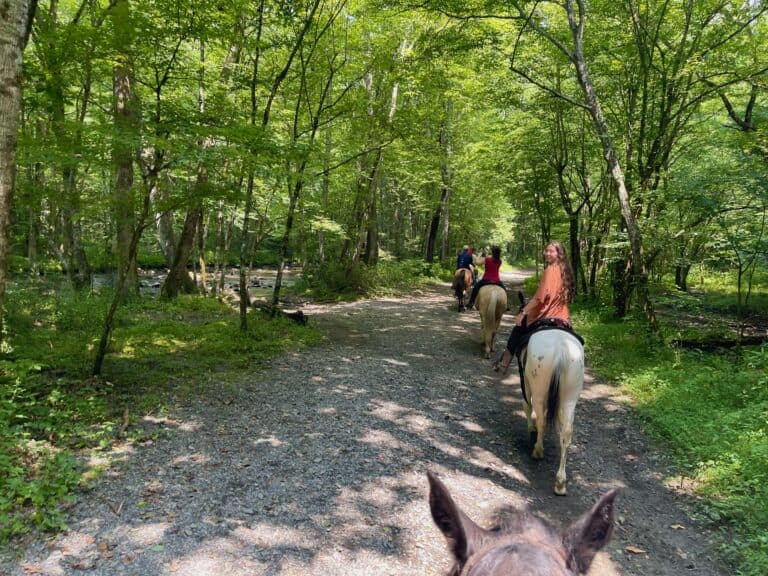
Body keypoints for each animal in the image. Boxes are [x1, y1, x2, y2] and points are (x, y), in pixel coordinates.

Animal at [498, 328, 584, 496]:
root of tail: (561, 350)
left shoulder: (525, 381)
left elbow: (526, 405)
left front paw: (531, 429)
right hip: (570, 397)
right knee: (566, 433)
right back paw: (560, 483)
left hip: (538, 391)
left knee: (541, 421)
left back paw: (538, 451)